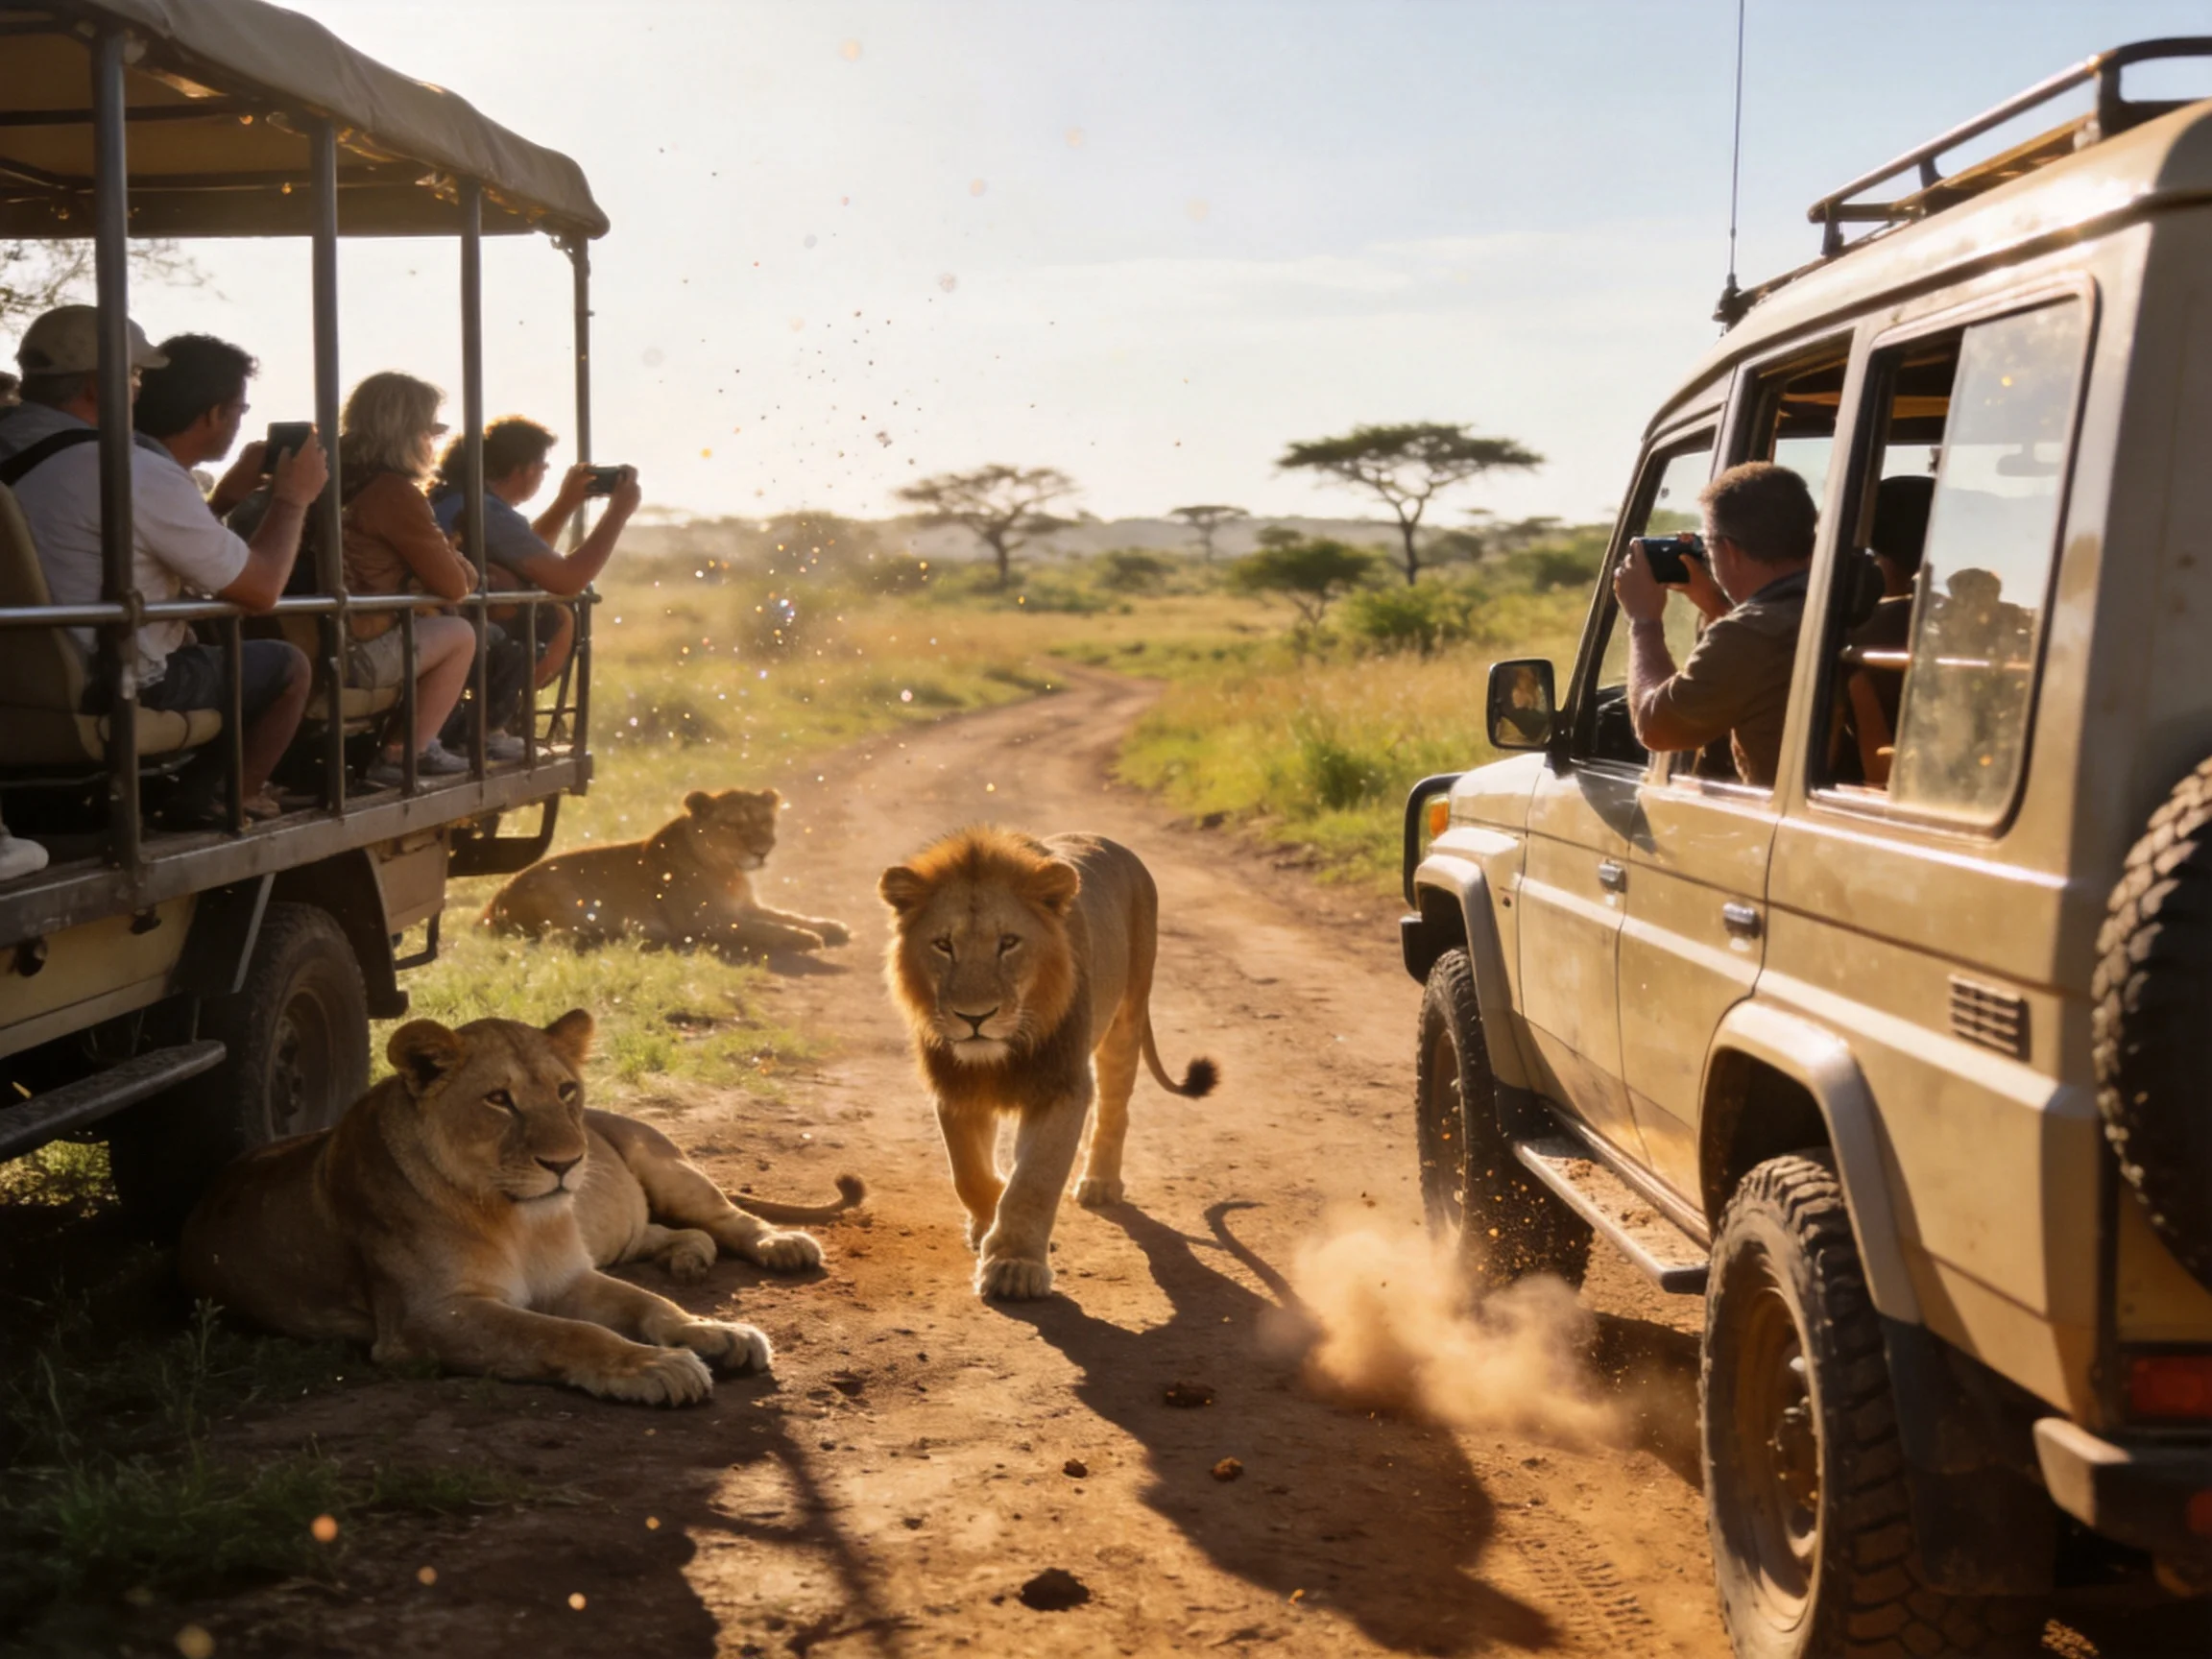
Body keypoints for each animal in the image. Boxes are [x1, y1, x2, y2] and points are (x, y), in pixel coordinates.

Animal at [180, 1010, 861, 1405]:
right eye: (499, 1100)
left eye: (565, 1091)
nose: (568, 1162)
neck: (515, 1219)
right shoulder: (429, 1317)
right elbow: (563, 1332)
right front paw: (657, 1366)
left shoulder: (568, 1276)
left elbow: (650, 1305)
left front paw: (715, 1332)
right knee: (668, 1235)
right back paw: (688, 1258)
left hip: (667, 1165)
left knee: (725, 1218)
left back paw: (779, 1245)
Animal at [481, 788, 851, 957]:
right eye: (733, 825)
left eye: (764, 821)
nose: (762, 851)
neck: (730, 872)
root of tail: (492, 902)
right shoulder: (708, 921)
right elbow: (764, 928)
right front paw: (806, 938)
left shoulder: (746, 906)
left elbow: (787, 914)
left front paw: (830, 926)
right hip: (558, 893)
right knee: (551, 938)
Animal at [878, 828, 1218, 1301]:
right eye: (943, 945)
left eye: (1009, 943)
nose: (975, 1017)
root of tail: (1109, 842)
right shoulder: (956, 1086)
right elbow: (970, 1173)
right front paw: (988, 1223)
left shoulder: (1061, 1085)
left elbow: (1035, 1179)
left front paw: (1015, 1265)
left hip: (1126, 1015)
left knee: (1115, 1107)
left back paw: (1100, 1184)